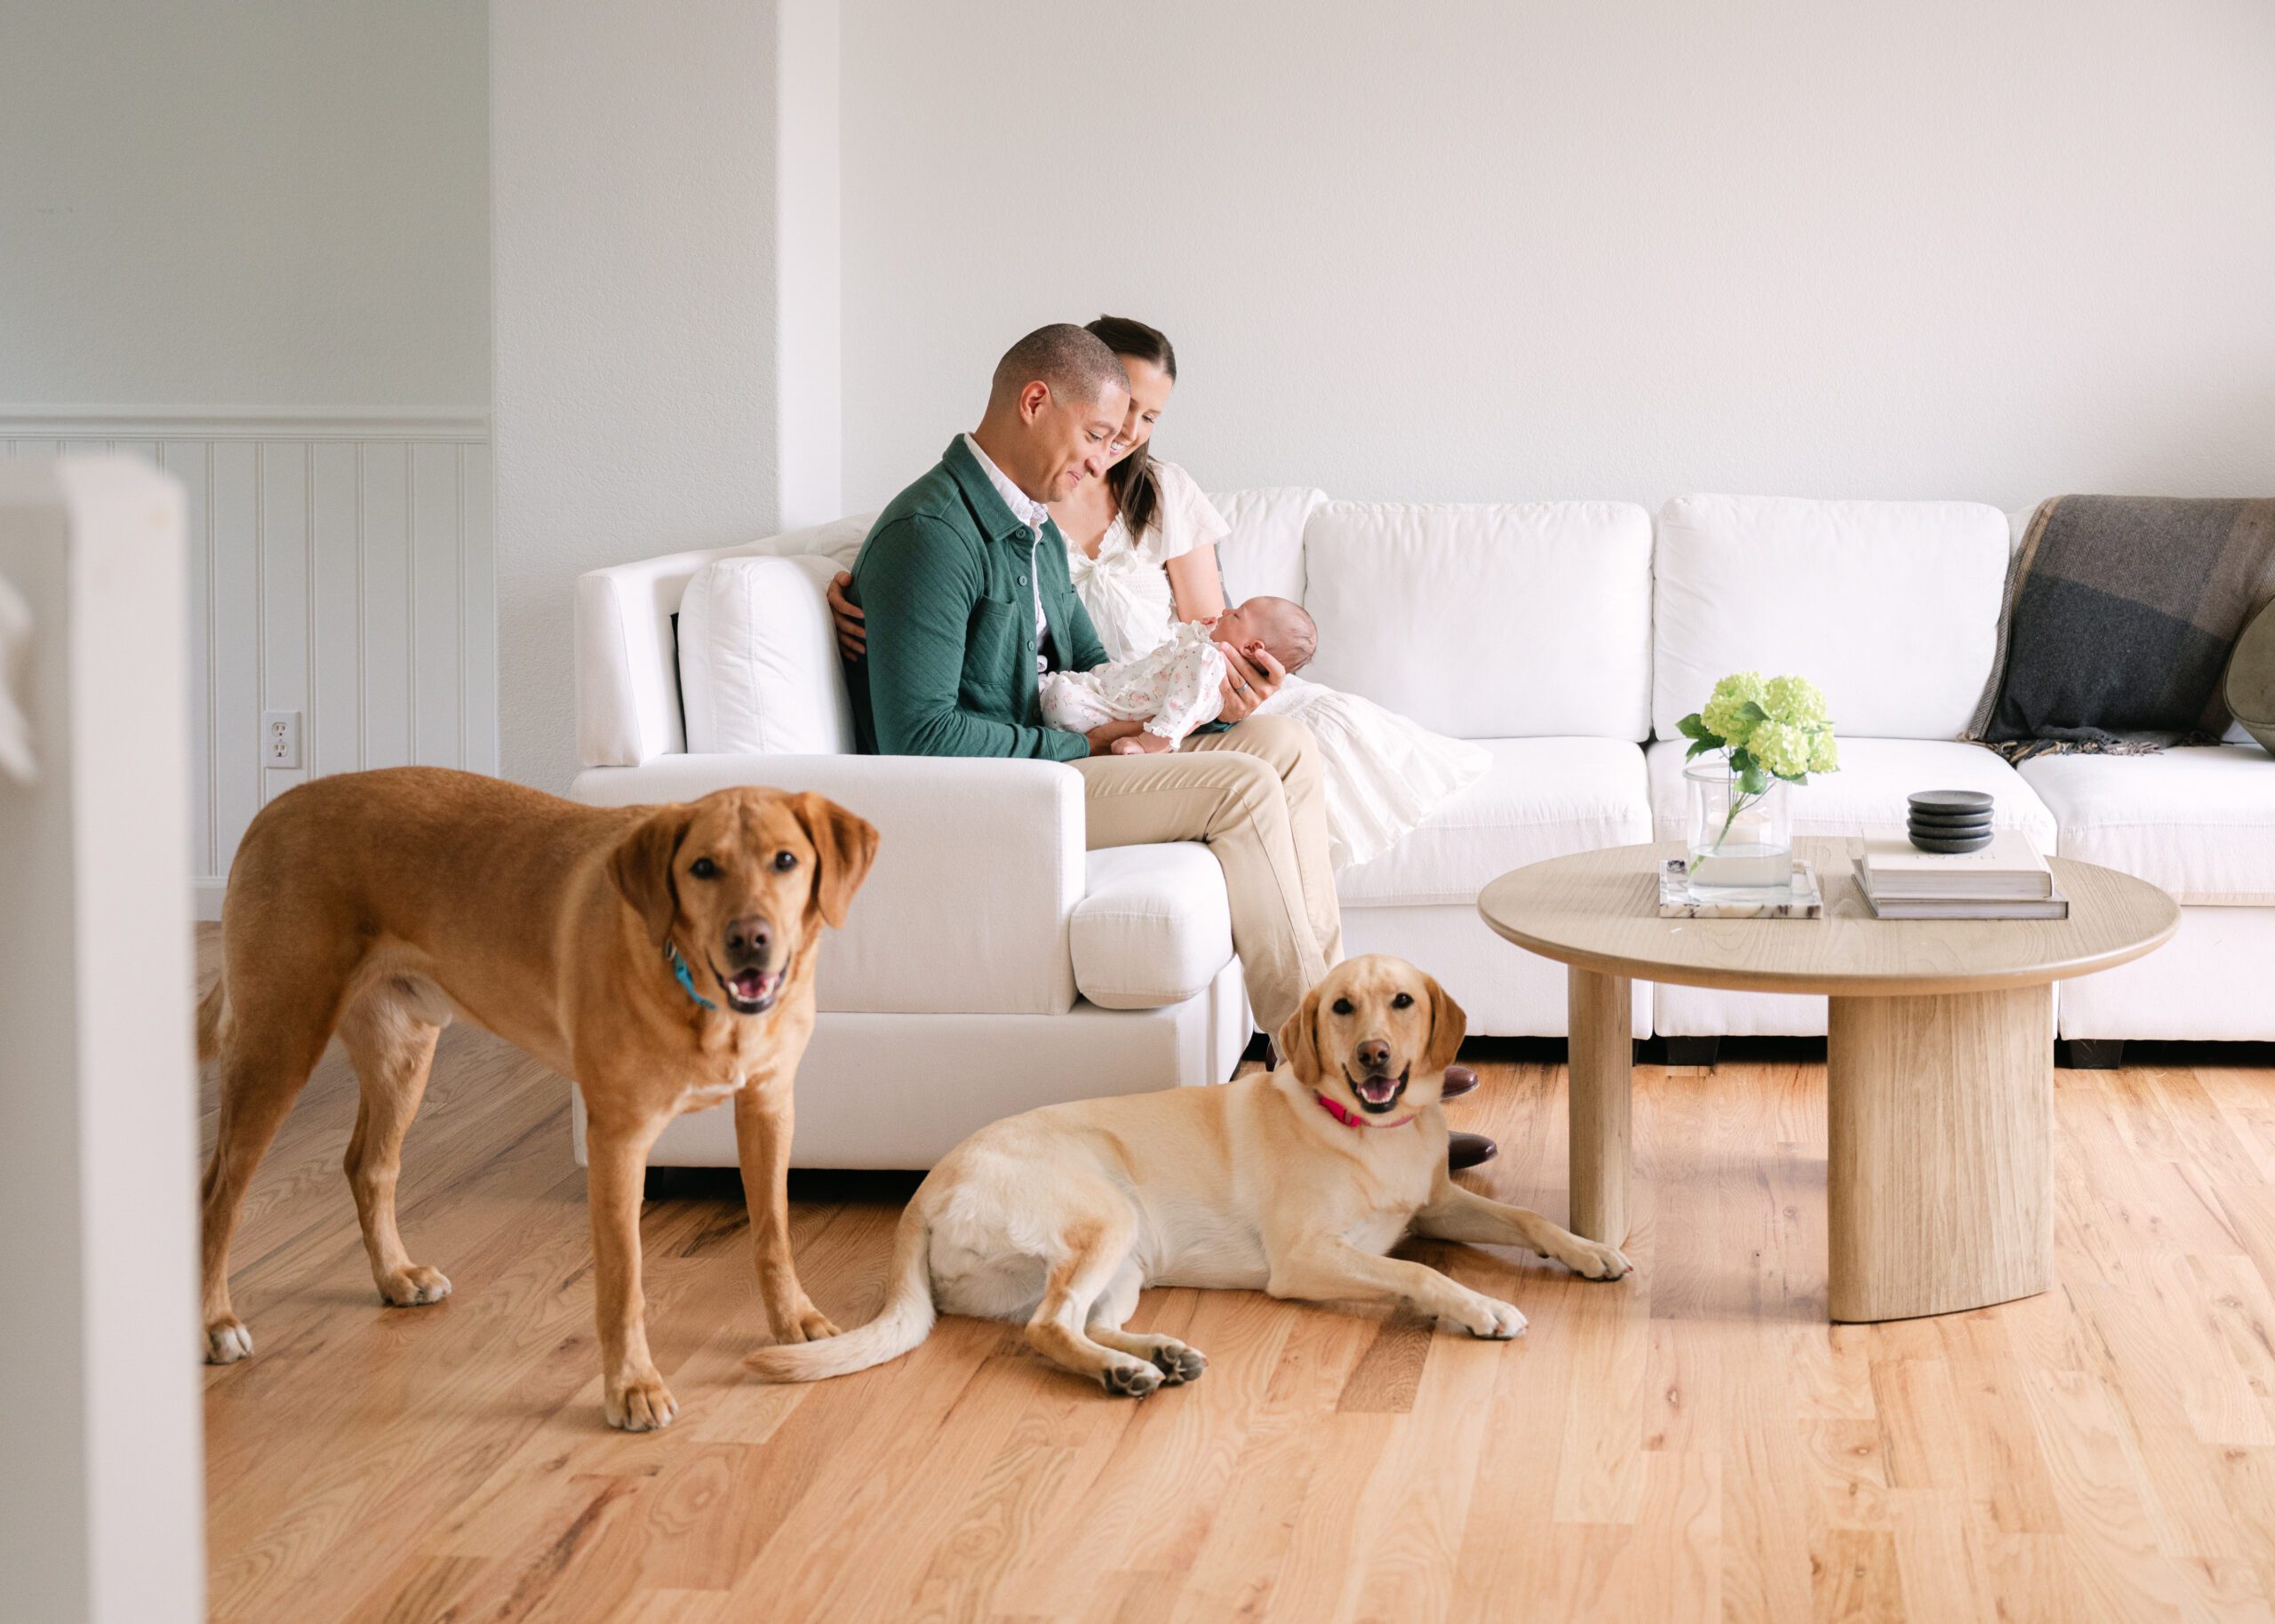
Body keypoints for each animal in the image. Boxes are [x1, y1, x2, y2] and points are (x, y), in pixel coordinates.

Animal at [197, 764, 868, 1419]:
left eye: (786, 861)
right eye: (703, 868)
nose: (750, 940)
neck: (703, 998)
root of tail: (273, 809)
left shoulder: (769, 1107)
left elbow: (773, 1235)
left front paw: (793, 1320)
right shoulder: (618, 1139)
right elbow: (623, 1281)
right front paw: (632, 1386)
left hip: (402, 1052)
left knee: (369, 1165)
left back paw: (394, 1276)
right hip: (278, 1042)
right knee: (218, 1194)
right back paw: (214, 1323)